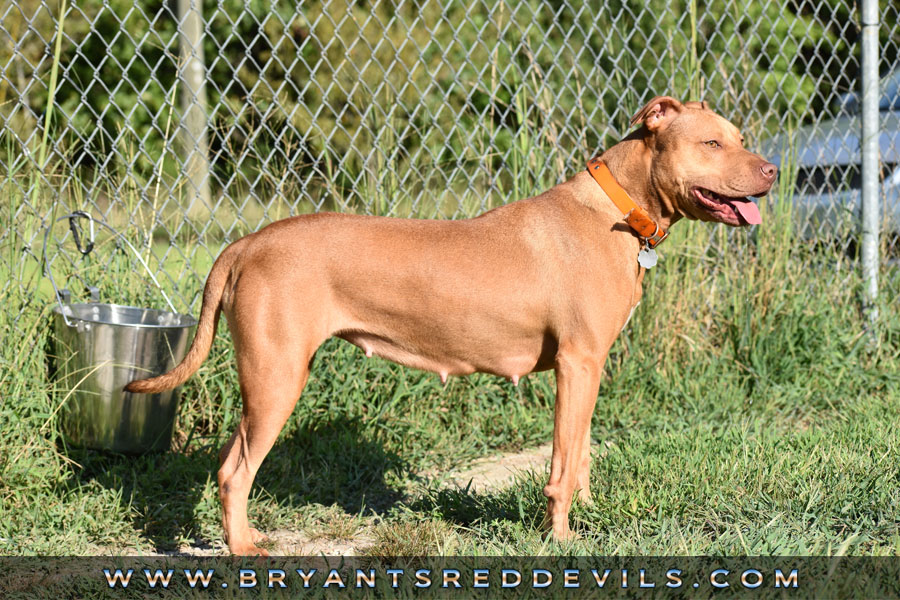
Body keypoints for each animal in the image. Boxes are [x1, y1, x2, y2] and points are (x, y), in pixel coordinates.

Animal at [125, 96, 772, 556]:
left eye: (738, 139)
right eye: (712, 142)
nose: (771, 169)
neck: (617, 208)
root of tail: (247, 242)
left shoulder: (589, 367)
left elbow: (583, 451)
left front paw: (587, 515)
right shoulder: (577, 363)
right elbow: (562, 464)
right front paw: (562, 538)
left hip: (269, 379)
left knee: (228, 463)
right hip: (276, 378)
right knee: (235, 472)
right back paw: (242, 549)